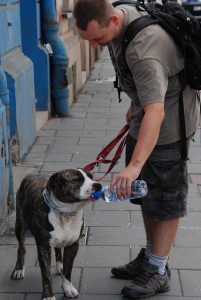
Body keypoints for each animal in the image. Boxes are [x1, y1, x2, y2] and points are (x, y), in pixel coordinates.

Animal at [10, 169, 101, 300]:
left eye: (91, 177)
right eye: (77, 180)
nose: (98, 185)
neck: (66, 213)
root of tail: (33, 174)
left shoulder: (73, 244)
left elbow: (68, 270)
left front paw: (68, 289)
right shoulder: (43, 247)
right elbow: (46, 274)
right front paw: (48, 296)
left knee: (58, 250)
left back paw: (60, 266)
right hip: (20, 224)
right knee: (21, 247)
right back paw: (18, 269)